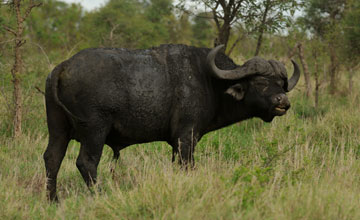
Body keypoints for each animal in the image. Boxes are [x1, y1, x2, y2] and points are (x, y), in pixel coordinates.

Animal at [43, 44, 300, 201]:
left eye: (281, 82)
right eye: (261, 83)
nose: (283, 101)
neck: (209, 80)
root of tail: (63, 66)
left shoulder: (176, 143)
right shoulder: (187, 137)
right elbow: (188, 165)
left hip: (57, 130)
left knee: (52, 158)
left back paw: (53, 200)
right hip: (95, 131)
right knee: (86, 163)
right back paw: (99, 194)